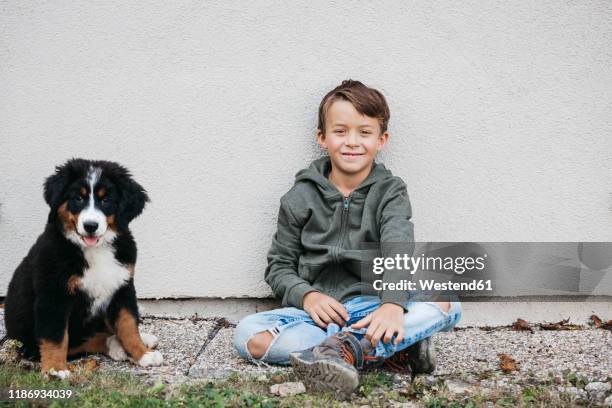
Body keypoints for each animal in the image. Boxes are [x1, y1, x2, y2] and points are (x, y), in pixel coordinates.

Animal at [2, 158, 165, 378]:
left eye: (106, 200)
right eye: (78, 198)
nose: (90, 226)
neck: (96, 250)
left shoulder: (122, 286)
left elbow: (128, 325)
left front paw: (141, 353)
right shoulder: (53, 295)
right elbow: (56, 336)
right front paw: (55, 370)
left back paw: (140, 339)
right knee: (84, 341)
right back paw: (115, 346)